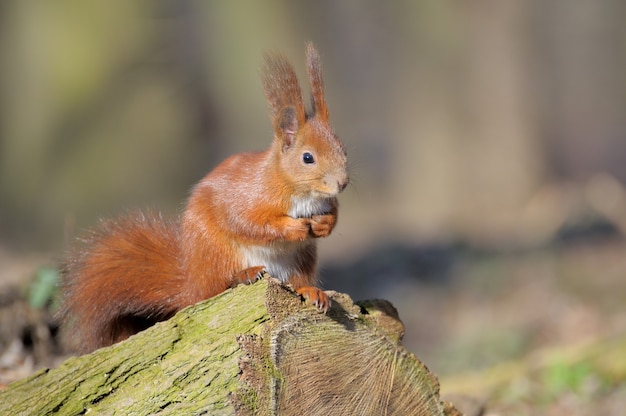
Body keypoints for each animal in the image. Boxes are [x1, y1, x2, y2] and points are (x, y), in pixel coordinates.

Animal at [59, 44, 348, 352]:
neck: (298, 190)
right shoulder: (248, 197)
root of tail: (191, 282)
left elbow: (333, 214)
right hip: (216, 252)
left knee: (297, 280)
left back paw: (312, 290)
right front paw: (294, 227)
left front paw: (324, 225)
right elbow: (249, 223)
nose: (342, 183)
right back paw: (243, 275)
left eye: (343, 148)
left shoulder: (326, 203)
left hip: (302, 257)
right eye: (308, 158)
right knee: (216, 288)